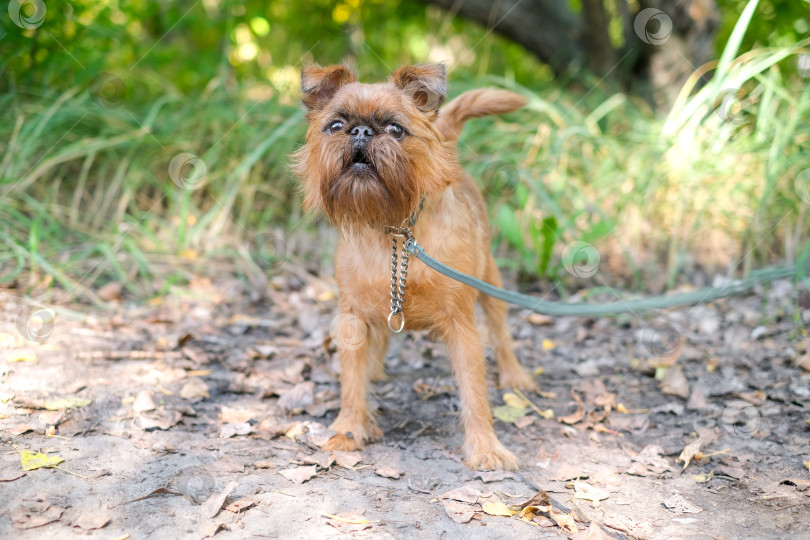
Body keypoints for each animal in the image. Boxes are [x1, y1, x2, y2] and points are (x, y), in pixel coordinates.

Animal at [294, 62, 532, 468]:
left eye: (395, 129)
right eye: (336, 125)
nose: (361, 131)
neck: (394, 230)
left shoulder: (463, 326)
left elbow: (475, 393)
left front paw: (486, 446)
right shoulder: (352, 317)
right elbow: (351, 383)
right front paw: (348, 429)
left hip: (491, 280)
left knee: (501, 328)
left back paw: (514, 373)